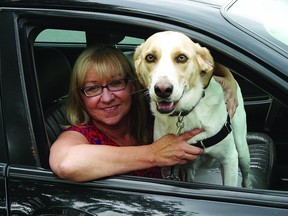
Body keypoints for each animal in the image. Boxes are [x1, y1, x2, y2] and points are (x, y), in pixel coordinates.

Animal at [134, 30, 252, 187]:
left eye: (181, 58)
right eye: (150, 57)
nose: (163, 90)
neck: (185, 114)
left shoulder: (230, 159)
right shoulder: (167, 167)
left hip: (242, 149)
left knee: (246, 176)